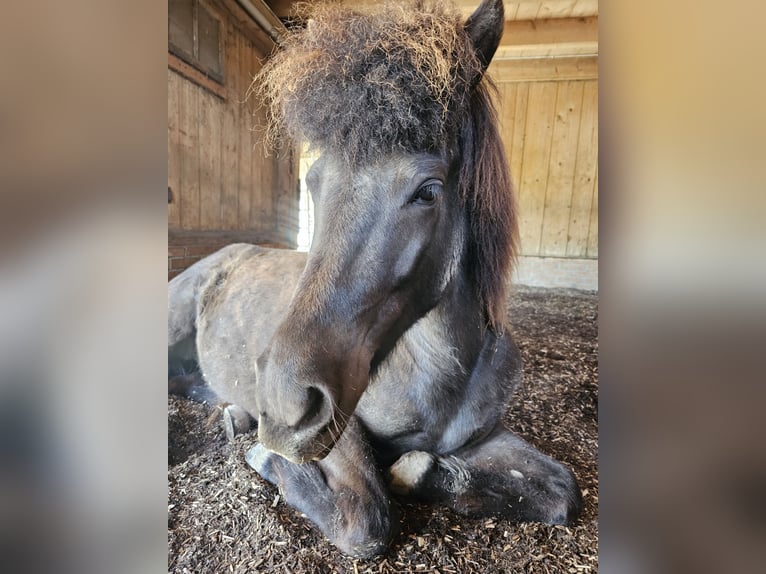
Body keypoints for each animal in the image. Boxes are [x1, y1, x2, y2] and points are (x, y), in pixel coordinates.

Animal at [168, 0, 584, 560]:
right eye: (314, 181)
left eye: (428, 191)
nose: (281, 402)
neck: (443, 376)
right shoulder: (340, 423)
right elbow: (364, 519)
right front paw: (267, 458)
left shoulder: (486, 436)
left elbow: (563, 491)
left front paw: (420, 472)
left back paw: (232, 413)